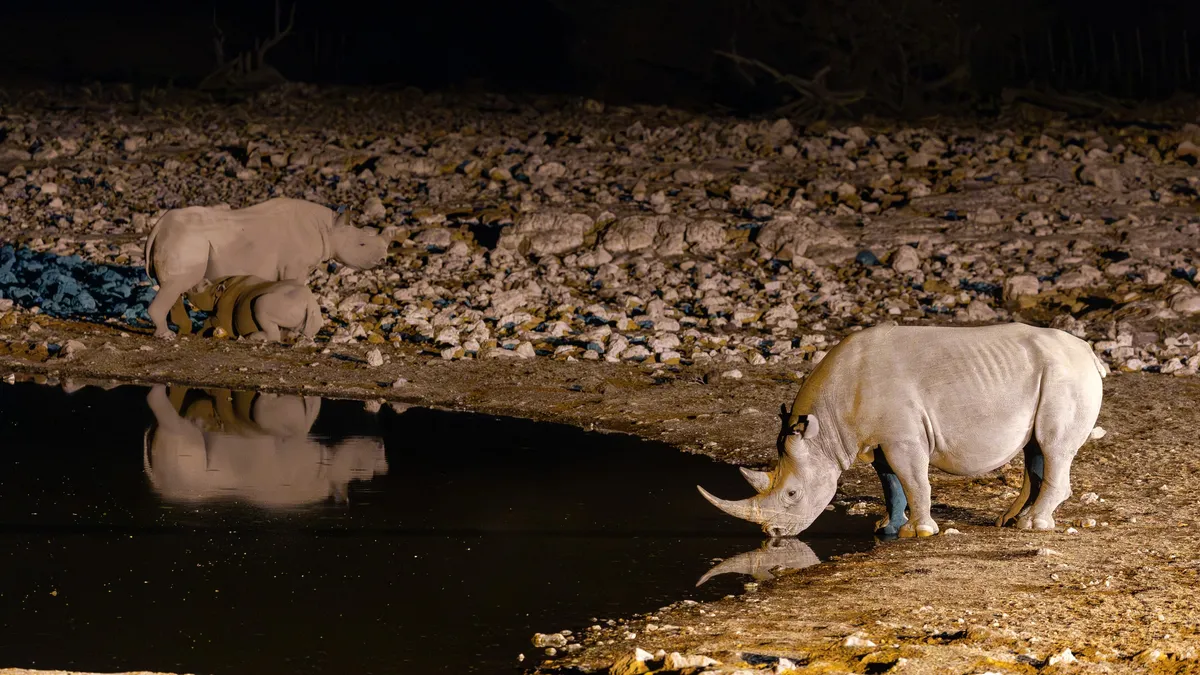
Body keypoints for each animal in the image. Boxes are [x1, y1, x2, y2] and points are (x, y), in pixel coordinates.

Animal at [143, 384, 388, 508]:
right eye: (364, 471)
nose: (381, 446)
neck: (329, 471)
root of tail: (157, 481)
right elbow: (303, 415)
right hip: (182, 469)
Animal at [189, 274, 323, 342]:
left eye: (195, 290)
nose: (185, 292)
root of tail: (309, 301)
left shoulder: (222, 315)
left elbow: (210, 320)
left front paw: (197, 334)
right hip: (315, 314)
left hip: (282, 303)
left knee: (260, 304)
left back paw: (252, 337)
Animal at [699, 323, 1107, 538]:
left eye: (792, 494)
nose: (774, 534)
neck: (826, 428)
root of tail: (1087, 351)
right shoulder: (878, 441)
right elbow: (891, 483)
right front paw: (887, 528)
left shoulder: (903, 439)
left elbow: (914, 481)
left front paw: (920, 532)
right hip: (1051, 376)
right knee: (1036, 448)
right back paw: (1011, 521)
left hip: (1066, 376)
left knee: (1053, 447)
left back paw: (1034, 526)